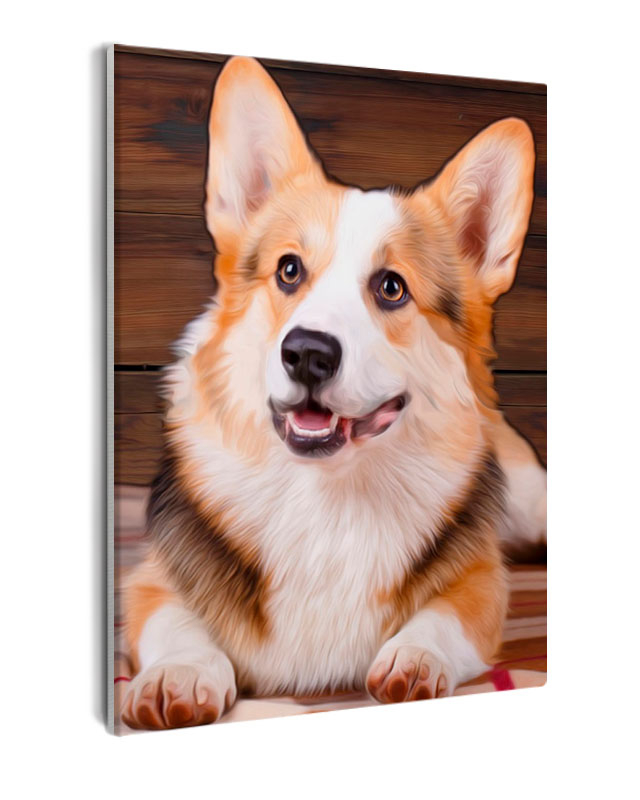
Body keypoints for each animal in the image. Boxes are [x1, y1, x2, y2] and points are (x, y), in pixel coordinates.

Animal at [120, 56, 546, 730]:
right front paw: (179, 674)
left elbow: (442, 620)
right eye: (289, 270)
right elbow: (176, 624)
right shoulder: (149, 580)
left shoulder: (482, 583)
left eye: (392, 287)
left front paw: (414, 657)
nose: (308, 354)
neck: (327, 496)